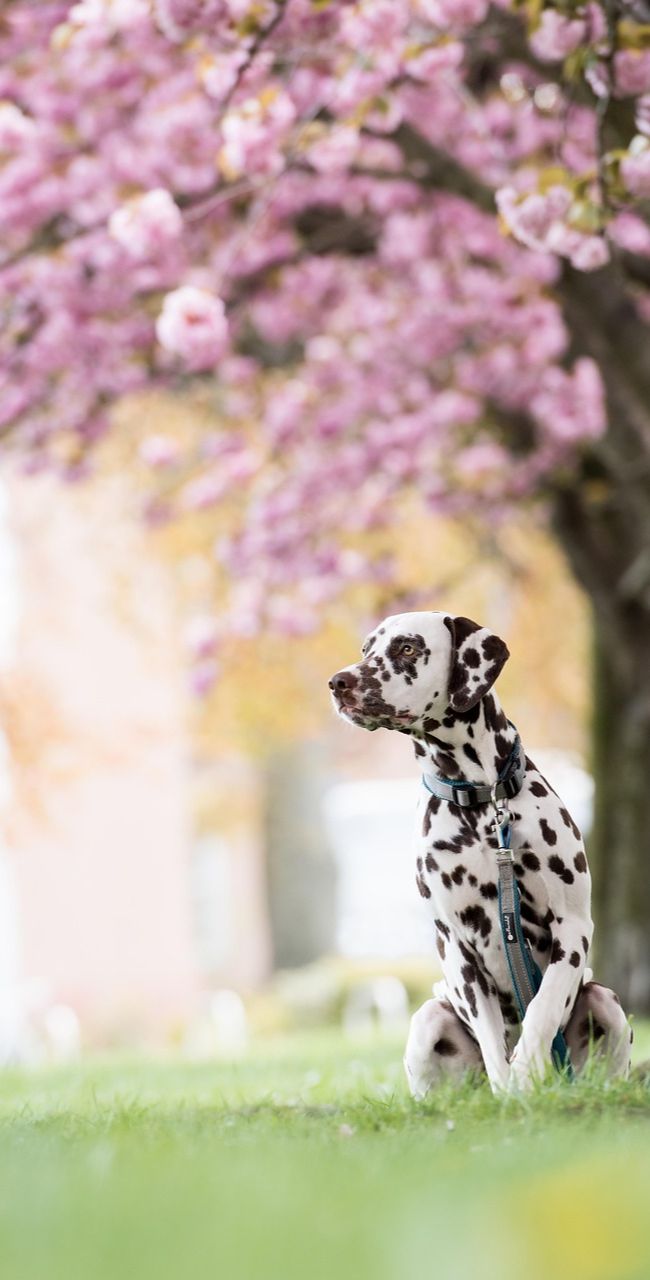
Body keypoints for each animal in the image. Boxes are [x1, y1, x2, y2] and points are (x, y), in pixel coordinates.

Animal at [329, 611, 632, 1093]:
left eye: (407, 648)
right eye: (366, 650)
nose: (338, 682)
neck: (482, 801)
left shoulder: (572, 927)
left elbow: (543, 1007)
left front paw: (527, 1072)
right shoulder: (457, 947)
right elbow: (492, 1042)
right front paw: (510, 1091)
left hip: (606, 1002)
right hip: (428, 1019)